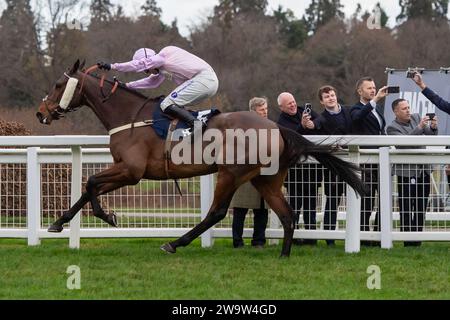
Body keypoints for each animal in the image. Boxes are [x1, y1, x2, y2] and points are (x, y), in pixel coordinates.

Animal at [35, 60, 366, 258]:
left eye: (57, 85)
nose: (40, 113)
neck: (128, 116)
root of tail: (277, 127)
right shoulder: (125, 170)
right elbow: (87, 188)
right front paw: (59, 223)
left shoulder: (131, 170)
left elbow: (91, 182)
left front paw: (107, 216)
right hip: (266, 178)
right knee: (287, 214)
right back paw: (284, 255)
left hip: (232, 173)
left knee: (216, 212)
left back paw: (175, 242)